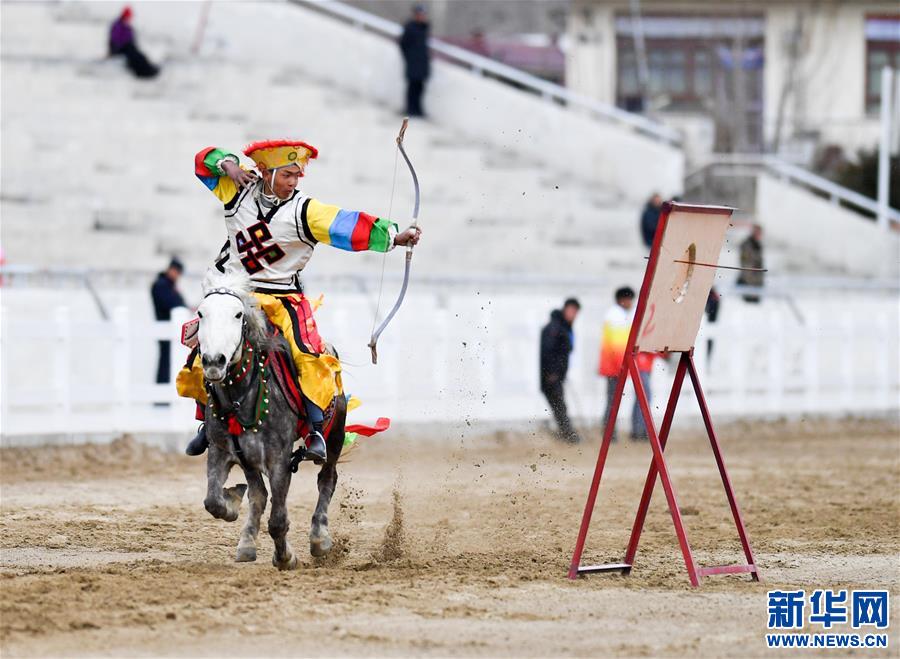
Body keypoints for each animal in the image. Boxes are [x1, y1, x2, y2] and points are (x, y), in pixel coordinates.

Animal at [196, 270, 344, 568]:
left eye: (238, 314)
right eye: (201, 313)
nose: (214, 361)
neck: (240, 395)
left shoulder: (279, 459)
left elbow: (278, 520)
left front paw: (286, 558)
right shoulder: (220, 450)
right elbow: (213, 501)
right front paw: (232, 501)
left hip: (335, 436)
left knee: (327, 479)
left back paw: (320, 538)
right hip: (250, 459)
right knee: (259, 494)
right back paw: (246, 543)